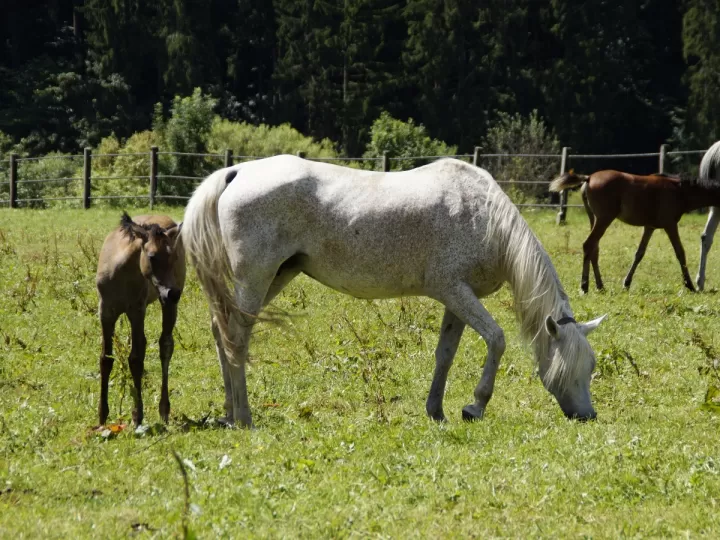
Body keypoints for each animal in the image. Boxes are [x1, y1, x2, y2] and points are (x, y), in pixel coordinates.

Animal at [96, 212, 185, 426]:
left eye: (174, 256)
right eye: (152, 256)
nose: (173, 293)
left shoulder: (136, 311)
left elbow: (135, 359)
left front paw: (137, 416)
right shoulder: (105, 312)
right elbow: (105, 359)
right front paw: (102, 416)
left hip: (164, 306)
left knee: (165, 345)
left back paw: (164, 409)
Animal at [181, 155, 606, 428]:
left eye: (592, 367)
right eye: (572, 366)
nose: (587, 416)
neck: (485, 219)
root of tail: (236, 171)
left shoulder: (456, 299)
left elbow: (445, 355)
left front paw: (437, 411)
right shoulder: (455, 292)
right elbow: (497, 339)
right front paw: (475, 406)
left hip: (277, 276)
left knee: (222, 330)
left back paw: (228, 412)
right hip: (257, 277)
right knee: (237, 337)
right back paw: (245, 417)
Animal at [549, 169, 720, 294]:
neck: (679, 191)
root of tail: (589, 178)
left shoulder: (649, 227)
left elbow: (639, 253)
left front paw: (626, 283)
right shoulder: (670, 225)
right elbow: (680, 252)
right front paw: (689, 285)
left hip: (594, 219)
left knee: (594, 249)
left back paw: (600, 286)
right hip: (604, 219)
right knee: (588, 245)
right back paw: (584, 286)